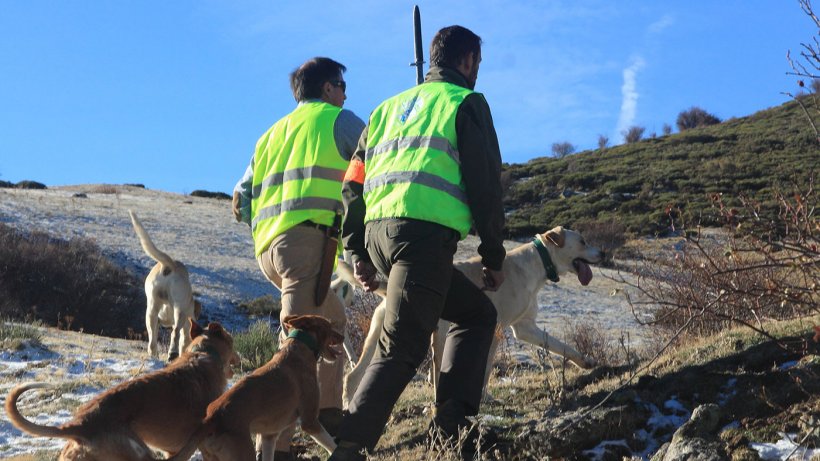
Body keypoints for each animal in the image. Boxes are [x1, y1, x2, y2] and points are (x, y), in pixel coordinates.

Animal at [131, 210, 204, 362]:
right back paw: (172, 354)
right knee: (175, 333)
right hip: (179, 311)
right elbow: (183, 340)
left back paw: (154, 356)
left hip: (151, 310)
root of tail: (170, 266)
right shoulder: (186, 328)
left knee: (152, 340)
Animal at [167, 312, 346, 460]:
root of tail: (211, 417)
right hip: (243, 454)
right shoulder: (310, 421)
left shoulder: (269, 436)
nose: (343, 337)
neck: (300, 348)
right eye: (329, 326)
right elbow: (333, 446)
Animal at [340, 225, 604, 404]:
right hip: (435, 332)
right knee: (433, 373)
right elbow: (485, 368)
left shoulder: (526, 328)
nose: (601, 254)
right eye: (582, 241)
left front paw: (585, 362)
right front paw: (484, 397)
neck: (537, 263)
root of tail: (390, 286)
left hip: (379, 336)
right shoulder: (496, 328)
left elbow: (560, 346)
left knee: (353, 377)